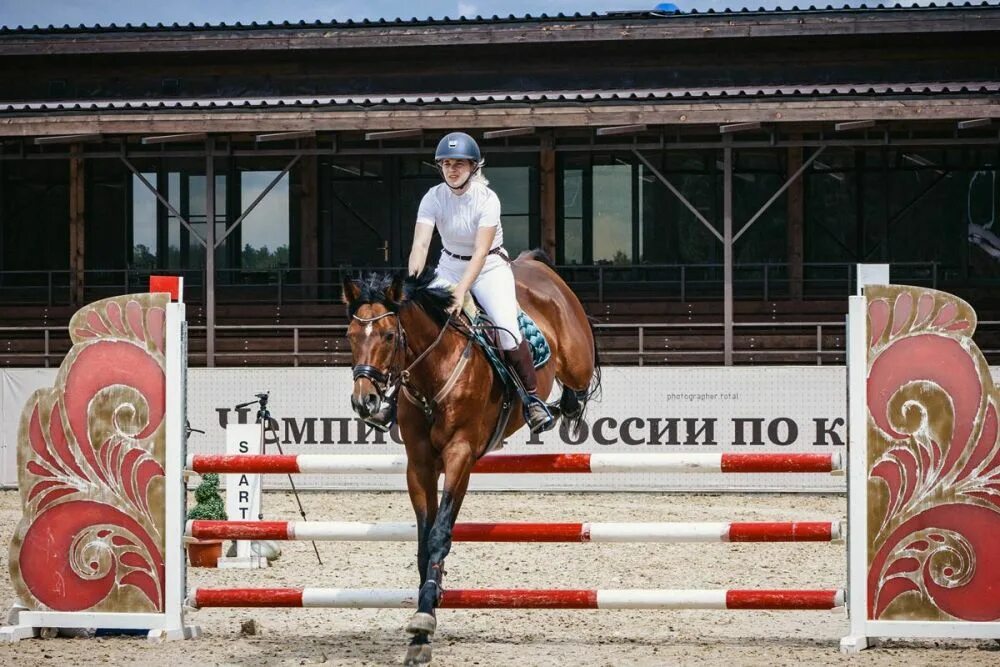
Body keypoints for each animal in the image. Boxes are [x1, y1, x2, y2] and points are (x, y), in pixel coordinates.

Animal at [342, 249, 600, 664]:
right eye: (350, 335)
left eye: (388, 335)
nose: (364, 402)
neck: (434, 372)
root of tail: (531, 263)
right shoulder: (419, 464)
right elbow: (424, 540)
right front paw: (423, 620)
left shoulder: (460, 456)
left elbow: (440, 533)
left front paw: (425, 619)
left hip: (577, 361)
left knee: (576, 392)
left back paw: (546, 408)